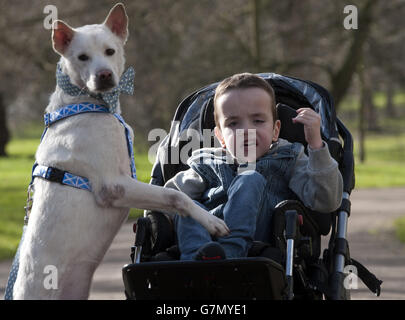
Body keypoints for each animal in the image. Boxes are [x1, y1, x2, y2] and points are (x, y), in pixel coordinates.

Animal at [12, 2, 227, 298]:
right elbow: (175, 196)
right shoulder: (114, 186)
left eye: (110, 51)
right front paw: (209, 221)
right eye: (82, 57)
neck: (88, 103)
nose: (104, 75)